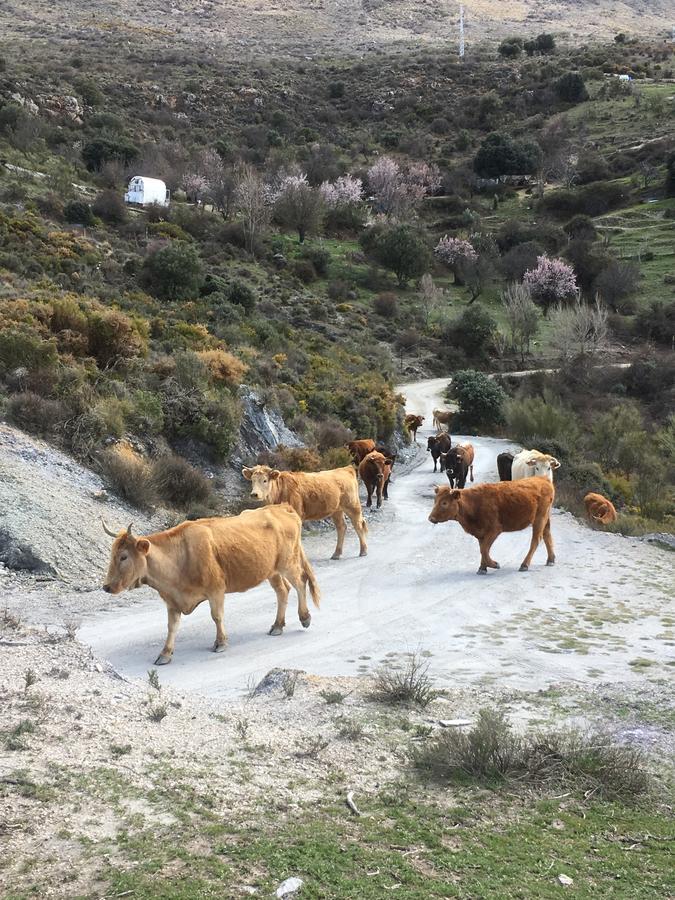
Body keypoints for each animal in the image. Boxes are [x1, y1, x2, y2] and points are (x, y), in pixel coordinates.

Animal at [101, 506, 320, 668]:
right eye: (112, 555)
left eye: (124, 556)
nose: (106, 587)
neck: (179, 559)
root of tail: (280, 507)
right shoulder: (172, 599)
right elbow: (172, 627)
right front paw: (165, 654)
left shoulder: (216, 590)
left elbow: (217, 616)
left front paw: (220, 643)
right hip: (271, 570)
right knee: (283, 591)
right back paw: (277, 625)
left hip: (287, 563)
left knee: (300, 583)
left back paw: (305, 617)